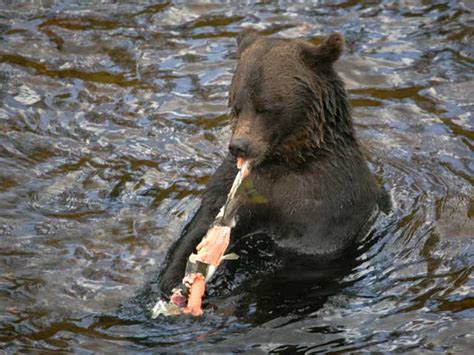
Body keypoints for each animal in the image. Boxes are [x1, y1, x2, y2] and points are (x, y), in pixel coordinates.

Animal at [157, 29, 386, 298]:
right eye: (236, 105)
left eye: (265, 107)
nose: (239, 146)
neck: (283, 159)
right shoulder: (234, 186)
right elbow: (201, 226)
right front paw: (177, 278)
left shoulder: (326, 204)